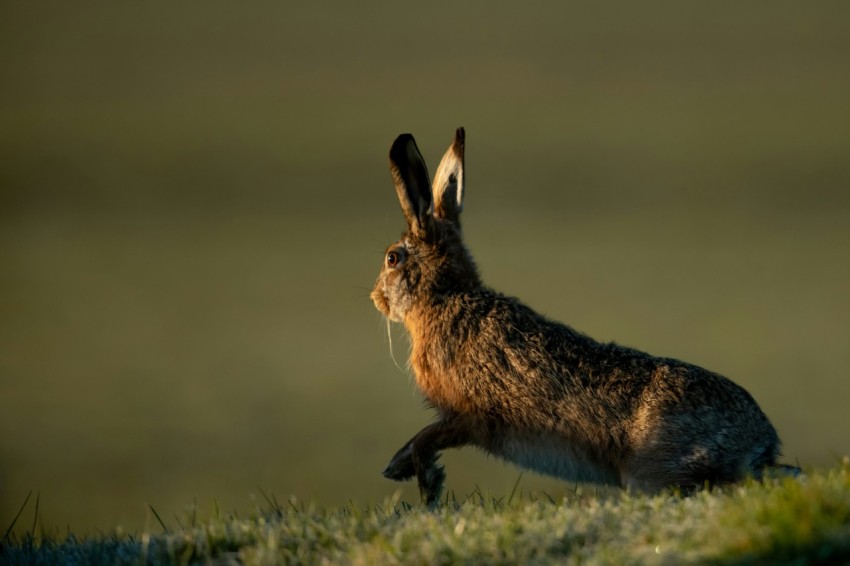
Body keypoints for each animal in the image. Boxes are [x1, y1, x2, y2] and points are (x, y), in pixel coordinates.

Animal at [371, 127, 796, 505]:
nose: (375, 298)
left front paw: (424, 483)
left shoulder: (469, 417)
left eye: (392, 258)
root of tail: (760, 439)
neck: (446, 298)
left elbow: (427, 439)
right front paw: (398, 469)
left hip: (654, 468)